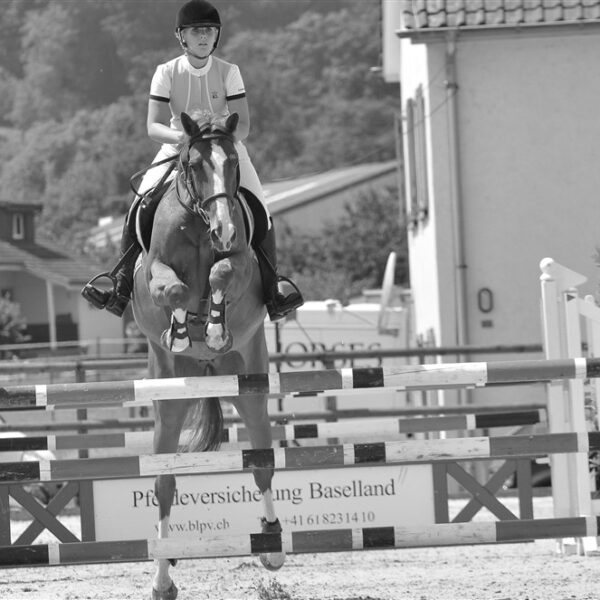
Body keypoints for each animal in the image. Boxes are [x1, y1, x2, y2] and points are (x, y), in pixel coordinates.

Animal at [131, 112, 284, 600]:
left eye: (232, 163)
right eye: (195, 165)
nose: (225, 229)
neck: (199, 224)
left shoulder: (240, 263)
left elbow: (220, 272)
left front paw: (213, 327)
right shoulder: (156, 271)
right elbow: (175, 287)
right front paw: (182, 330)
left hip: (249, 383)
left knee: (261, 465)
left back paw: (272, 547)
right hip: (169, 398)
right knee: (163, 480)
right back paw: (163, 576)